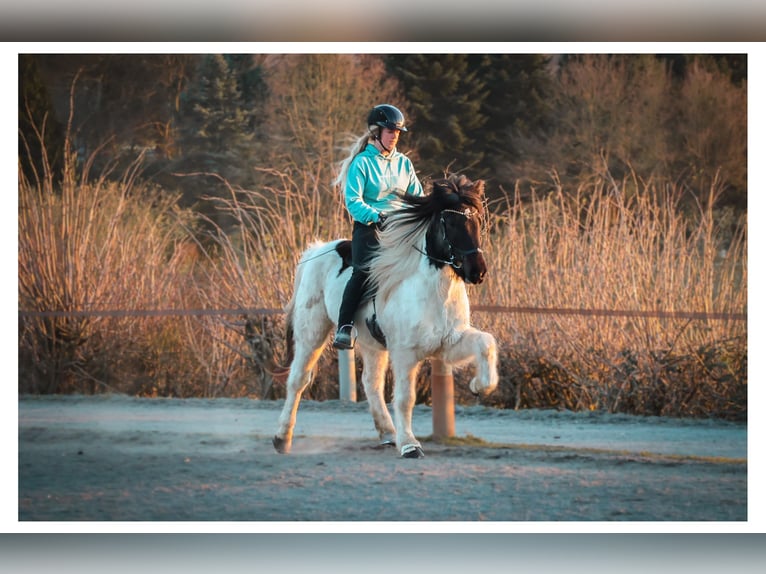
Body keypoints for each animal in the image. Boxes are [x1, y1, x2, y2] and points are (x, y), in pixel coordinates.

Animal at [272, 173, 498, 458]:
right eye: (451, 222)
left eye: (477, 220)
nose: (478, 272)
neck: (433, 292)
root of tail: (316, 250)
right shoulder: (405, 352)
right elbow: (405, 398)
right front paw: (410, 445)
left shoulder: (448, 343)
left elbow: (486, 342)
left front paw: (480, 385)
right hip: (312, 332)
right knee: (298, 380)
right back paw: (282, 438)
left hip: (371, 344)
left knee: (371, 383)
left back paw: (388, 433)